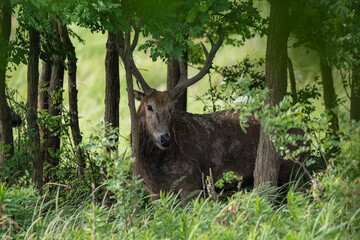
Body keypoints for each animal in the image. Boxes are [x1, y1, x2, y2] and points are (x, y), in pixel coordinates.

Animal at [116, 27, 306, 202]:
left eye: (170, 109)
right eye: (149, 106)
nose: (165, 139)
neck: (154, 168)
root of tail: (303, 128)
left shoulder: (191, 181)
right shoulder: (154, 191)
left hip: (295, 168)